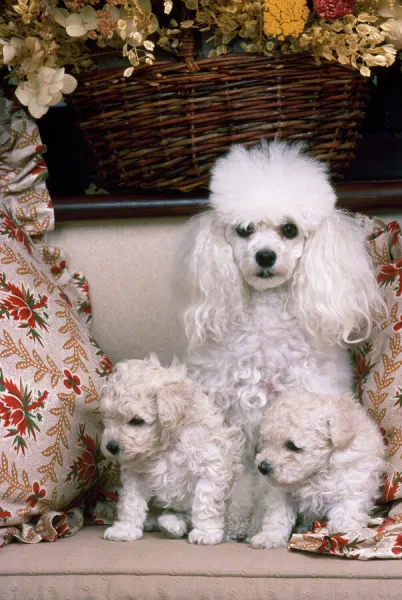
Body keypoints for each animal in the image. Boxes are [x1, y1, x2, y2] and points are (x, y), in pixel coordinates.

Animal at [100, 354, 242, 548]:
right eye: (108, 419)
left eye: (137, 421)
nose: (110, 447)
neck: (166, 444)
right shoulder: (135, 474)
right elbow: (131, 501)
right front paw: (125, 529)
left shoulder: (211, 464)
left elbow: (205, 502)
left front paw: (206, 533)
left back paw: (172, 523)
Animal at [251, 390, 386, 548]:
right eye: (266, 442)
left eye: (293, 446)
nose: (262, 467)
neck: (315, 474)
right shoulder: (281, 494)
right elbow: (278, 516)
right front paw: (269, 537)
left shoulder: (352, 486)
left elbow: (346, 512)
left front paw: (346, 534)